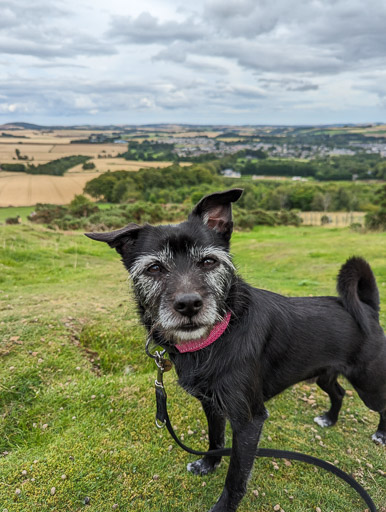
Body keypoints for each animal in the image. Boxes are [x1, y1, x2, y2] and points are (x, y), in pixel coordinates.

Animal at [86, 189, 384, 512]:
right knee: (338, 392)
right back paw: (329, 418)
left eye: (208, 261)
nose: (189, 304)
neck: (216, 338)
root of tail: (368, 309)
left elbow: (236, 476)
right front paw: (207, 464)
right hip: (324, 375)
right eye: (154, 268)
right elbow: (215, 440)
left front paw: (223, 506)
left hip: (369, 385)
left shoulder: (249, 421)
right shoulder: (212, 405)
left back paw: (380, 434)